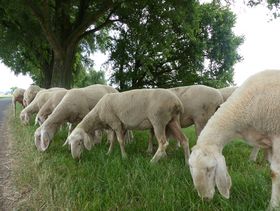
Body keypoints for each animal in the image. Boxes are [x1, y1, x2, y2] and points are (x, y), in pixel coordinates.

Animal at [187, 70, 280, 210]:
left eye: (210, 169)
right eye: (191, 167)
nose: (205, 199)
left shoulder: (277, 137)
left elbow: (275, 173)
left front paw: (273, 206)